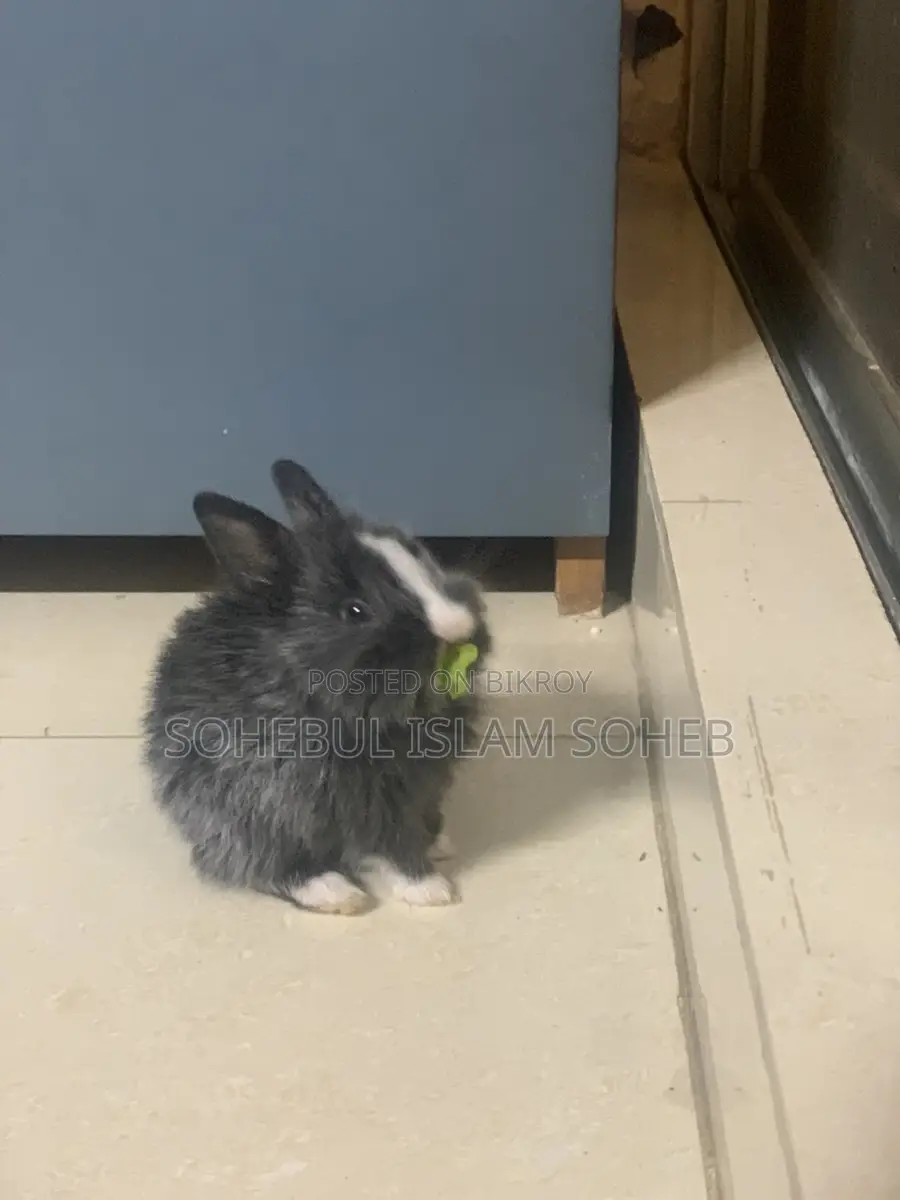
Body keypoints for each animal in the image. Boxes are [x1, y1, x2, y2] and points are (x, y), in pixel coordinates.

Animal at [142, 459, 491, 914]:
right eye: (355, 611)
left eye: (421, 558)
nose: (459, 627)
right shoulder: (359, 799)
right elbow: (390, 846)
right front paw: (430, 889)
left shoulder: (420, 791)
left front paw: (438, 844)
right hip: (241, 812)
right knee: (260, 864)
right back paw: (338, 894)